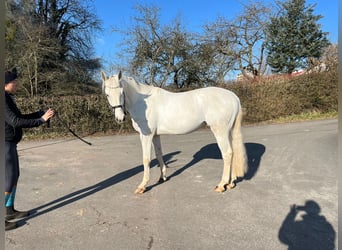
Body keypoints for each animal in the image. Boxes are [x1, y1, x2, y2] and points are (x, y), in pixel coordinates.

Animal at [100, 71, 247, 194]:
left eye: (121, 92)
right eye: (107, 94)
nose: (120, 118)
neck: (142, 102)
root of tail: (233, 97)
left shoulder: (146, 135)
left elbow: (146, 159)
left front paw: (142, 186)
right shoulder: (155, 135)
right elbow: (159, 155)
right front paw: (162, 177)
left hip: (220, 131)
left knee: (227, 154)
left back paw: (221, 185)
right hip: (228, 131)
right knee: (233, 152)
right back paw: (231, 183)